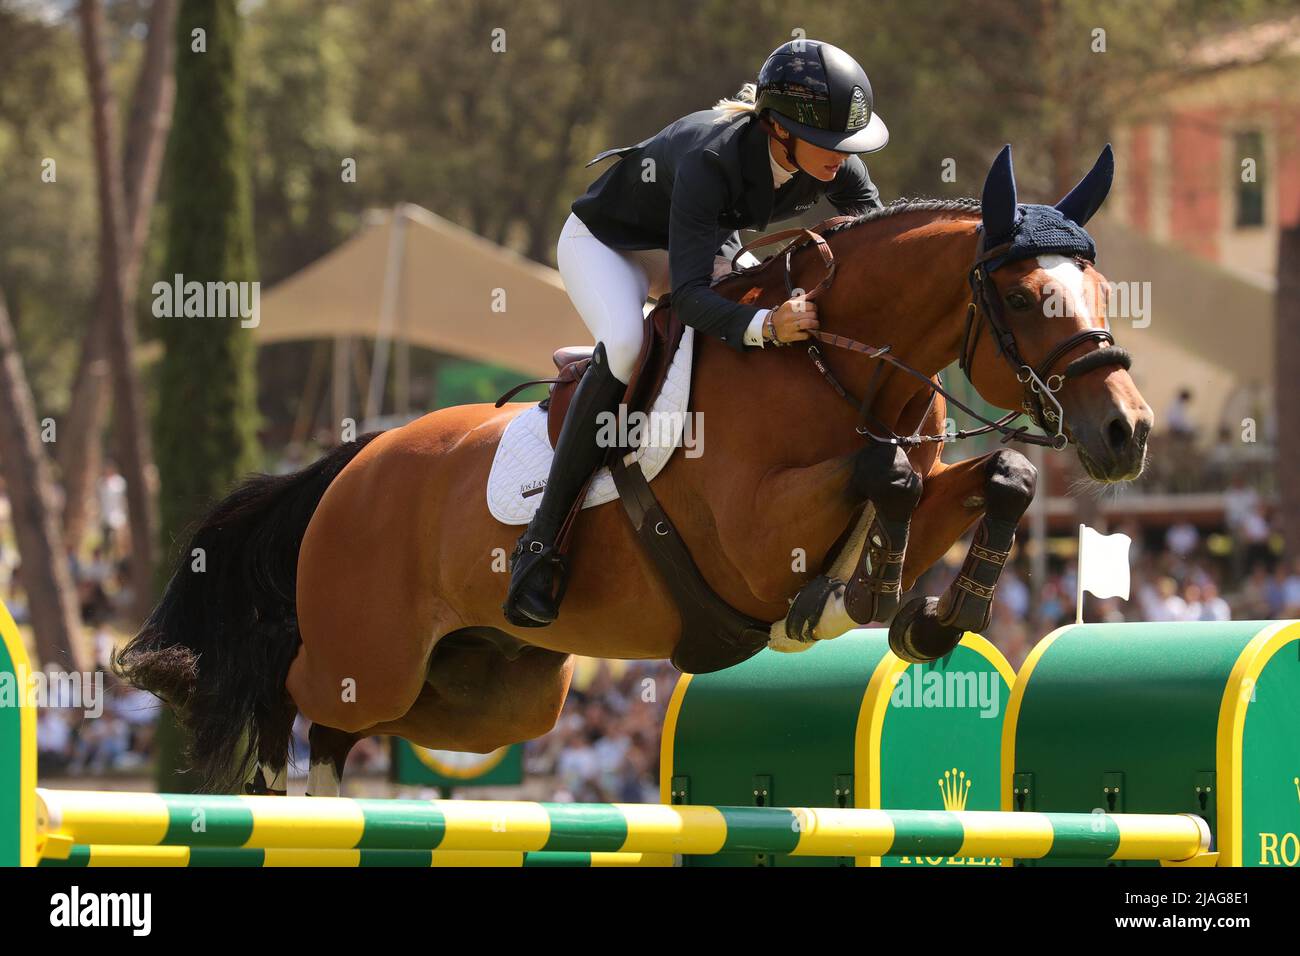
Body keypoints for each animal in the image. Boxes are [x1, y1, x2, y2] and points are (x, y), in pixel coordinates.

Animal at [119, 145, 1149, 796]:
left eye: (1102, 289)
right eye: (1027, 295)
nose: (1127, 431)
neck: (840, 367)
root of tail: (352, 464)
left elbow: (999, 476)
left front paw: (932, 619)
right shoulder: (752, 538)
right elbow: (880, 476)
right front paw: (867, 595)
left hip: (495, 698)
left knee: (369, 729)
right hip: (367, 655)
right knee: (283, 687)